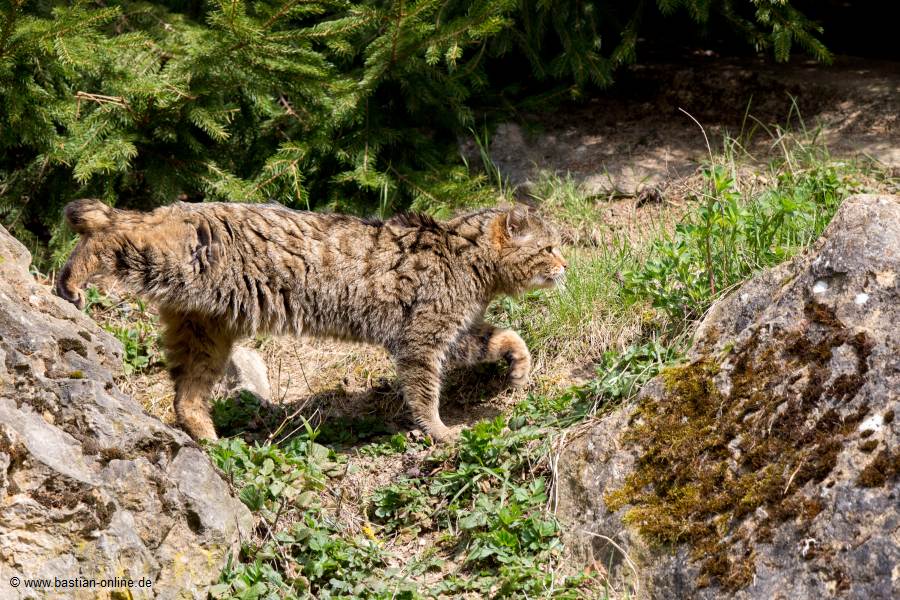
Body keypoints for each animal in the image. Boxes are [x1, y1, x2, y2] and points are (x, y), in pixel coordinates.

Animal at [56, 199, 567, 443]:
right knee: (110, 235)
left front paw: (519, 365)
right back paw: (73, 275)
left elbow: (504, 336)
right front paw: (440, 432)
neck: (465, 258)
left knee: (187, 397)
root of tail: (171, 207)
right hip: (170, 260)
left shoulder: (456, 332)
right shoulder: (423, 339)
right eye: (548, 248)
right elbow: (425, 395)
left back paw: (211, 440)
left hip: (204, 332)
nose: (566, 265)